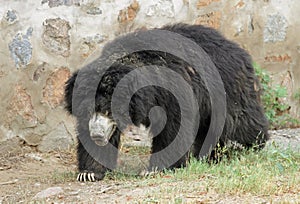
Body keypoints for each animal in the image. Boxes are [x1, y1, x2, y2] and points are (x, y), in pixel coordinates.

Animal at [63, 23, 270, 182]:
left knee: (241, 120)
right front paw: (89, 173)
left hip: (227, 89)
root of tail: (237, 48)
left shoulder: (172, 92)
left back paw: (254, 144)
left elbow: (174, 128)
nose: (97, 135)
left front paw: (154, 169)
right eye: (89, 110)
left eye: (108, 110)